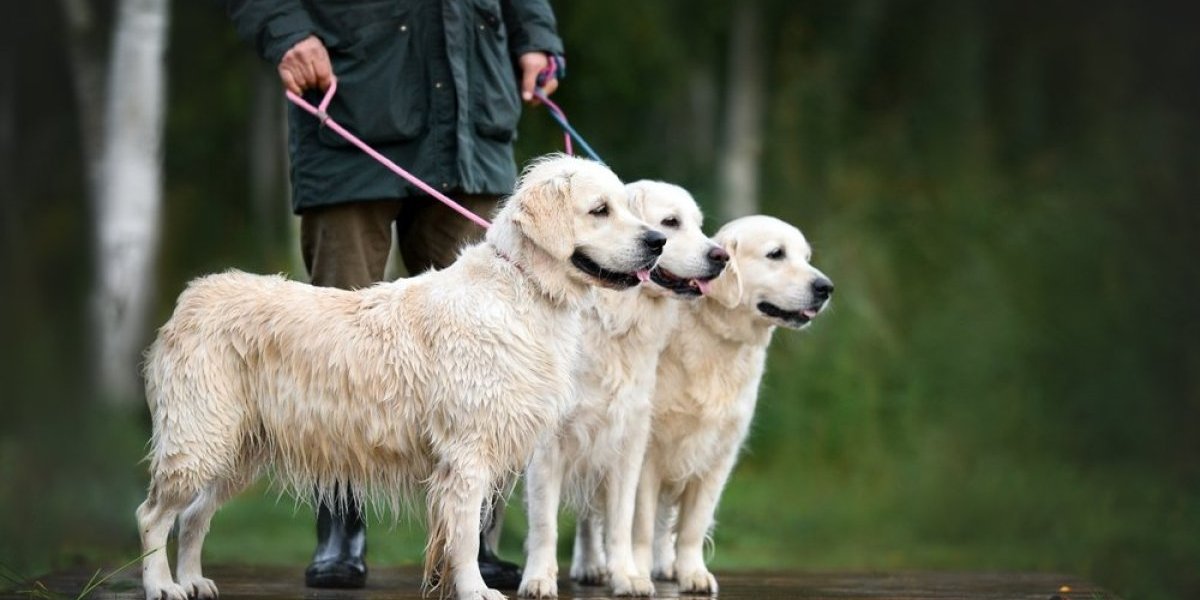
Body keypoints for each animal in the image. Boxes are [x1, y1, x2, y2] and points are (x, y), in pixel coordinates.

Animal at [138, 154, 676, 600]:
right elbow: (464, 535)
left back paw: (193, 581)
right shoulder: (468, 452)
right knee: (153, 516)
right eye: (599, 210)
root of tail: (193, 295)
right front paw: (476, 591)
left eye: (627, 207)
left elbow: (463, 533)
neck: (522, 288)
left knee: (192, 517)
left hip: (236, 450)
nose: (657, 241)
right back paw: (162, 586)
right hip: (199, 438)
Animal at [520, 182, 724, 600]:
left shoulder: (627, 439)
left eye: (699, 225)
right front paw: (539, 579)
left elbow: (621, 520)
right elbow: (544, 522)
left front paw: (627, 576)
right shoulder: (550, 446)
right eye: (670, 222)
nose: (721, 257)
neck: (613, 321)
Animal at [628, 214, 835, 590]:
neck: (718, 341)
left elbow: (693, 526)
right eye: (776, 254)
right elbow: (640, 523)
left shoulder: (718, 455)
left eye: (807, 257)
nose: (826, 287)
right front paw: (634, 571)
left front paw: (693, 573)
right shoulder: (648, 451)